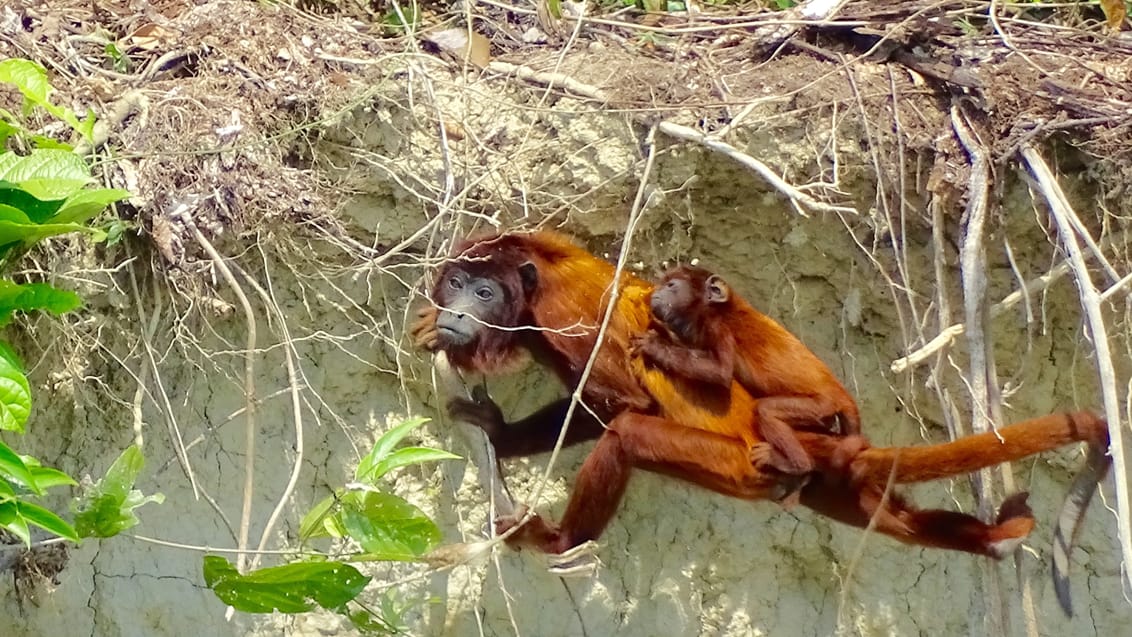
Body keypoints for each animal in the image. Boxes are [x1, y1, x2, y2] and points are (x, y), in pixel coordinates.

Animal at [412, 231, 1109, 615]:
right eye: (455, 283)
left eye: (484, 292)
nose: (453, 313)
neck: (531, 277)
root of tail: (811, 444)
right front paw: (494, 430)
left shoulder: (561, 316)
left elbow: (615, 404)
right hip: (827, 482)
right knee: (892, 518)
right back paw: (996, 540)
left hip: (740, 467)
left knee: (630, 437)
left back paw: (559, 541)